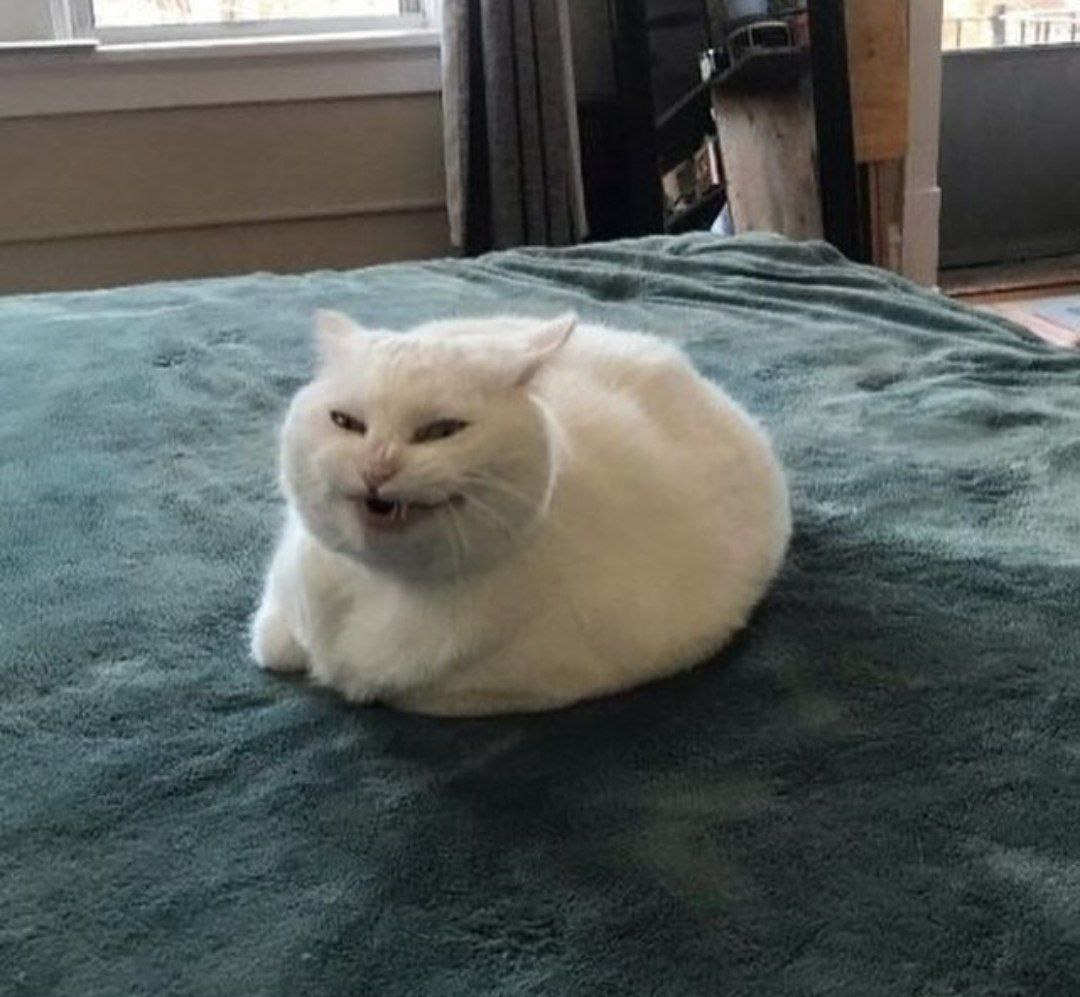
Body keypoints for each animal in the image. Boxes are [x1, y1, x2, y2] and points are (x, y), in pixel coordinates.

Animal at [251, 309, 791, 716]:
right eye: (346, 422)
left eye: (442, 431)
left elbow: (406, 692)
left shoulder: (516, 687)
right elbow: (272, 642)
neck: (382, 589)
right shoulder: (284, 591)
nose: (377, 466)